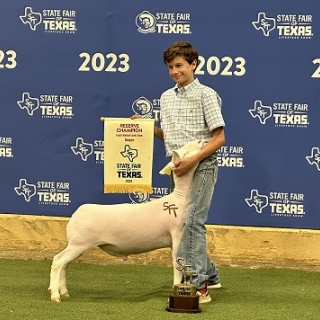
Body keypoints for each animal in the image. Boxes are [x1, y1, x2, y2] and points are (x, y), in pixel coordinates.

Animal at [49, 139, 205, 302]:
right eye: (185, 151)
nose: (201, 140)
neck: (180, 197)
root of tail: (76, 214)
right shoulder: (177, 234)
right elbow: (176, 265)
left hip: (76, 244)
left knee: (65, 264)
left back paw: (64, 292)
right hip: (78, 243)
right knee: (58, 261)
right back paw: (55, 295)